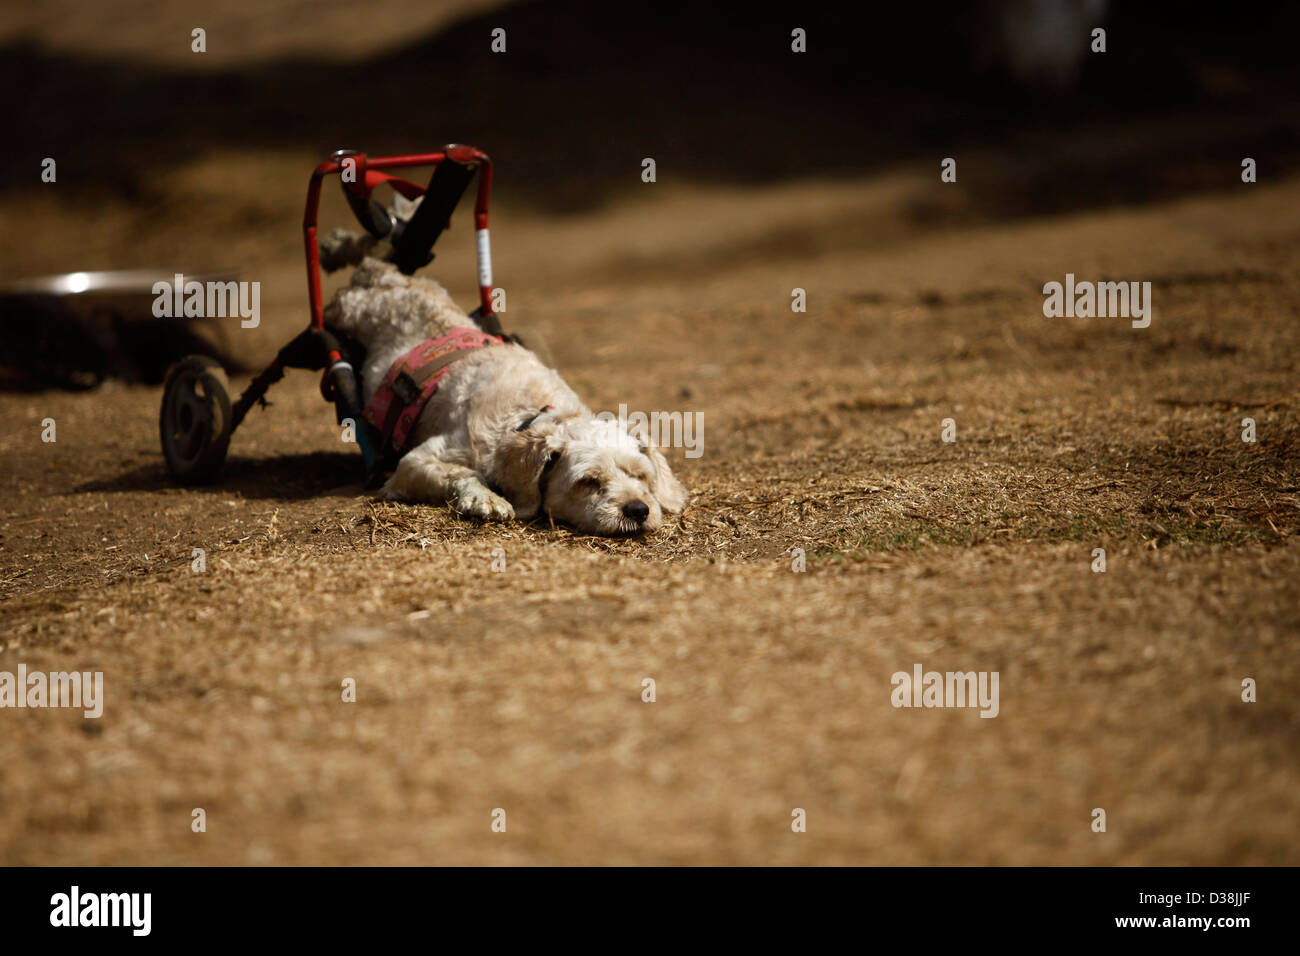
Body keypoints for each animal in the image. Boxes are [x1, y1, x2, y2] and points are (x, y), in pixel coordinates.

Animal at [322, 257, 691, 535]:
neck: (526, 416)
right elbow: (462, 473)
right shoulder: (414, 463)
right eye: (588, 481)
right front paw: (484, 497)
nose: (638, 509)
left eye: (640, 475)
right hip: (351, 310)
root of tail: (385, 274)